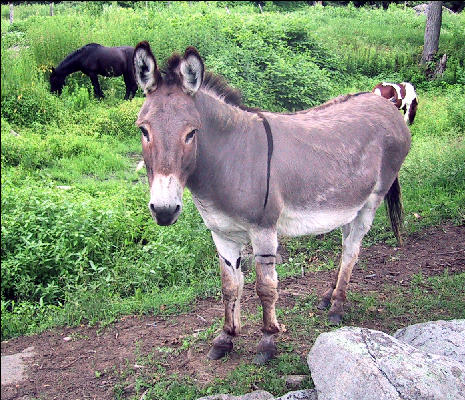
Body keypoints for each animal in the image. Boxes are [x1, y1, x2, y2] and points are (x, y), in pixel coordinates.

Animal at [133, 42, 410, 364]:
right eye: (143, 130)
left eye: (191, 133)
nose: (164, 211)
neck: (231, 157)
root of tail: (385, 104)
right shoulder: (221, 233)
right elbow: (229, 286)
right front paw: (225, 337)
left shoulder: (264, 229)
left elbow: (265, 288)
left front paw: (267, 341)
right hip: (350, 202)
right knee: (345, 244)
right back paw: (328, 296)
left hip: (371, 201)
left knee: (353, 249)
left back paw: (338, 306)